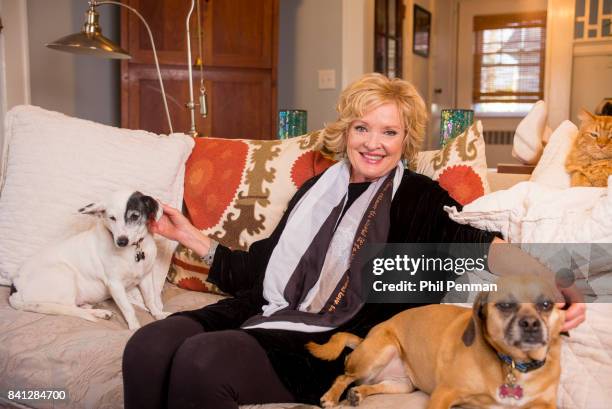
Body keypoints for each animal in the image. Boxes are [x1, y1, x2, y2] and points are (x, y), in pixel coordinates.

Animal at [308, 276, 568, 406]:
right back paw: (332, 398)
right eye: (505, 305)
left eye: (546, 304)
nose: (531, 324)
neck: (514, 366)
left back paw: (358, 394)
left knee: (371, 385)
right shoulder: (444, 394)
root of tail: (365, 338)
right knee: (344, 376)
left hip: (402, 384)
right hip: (380, 352)